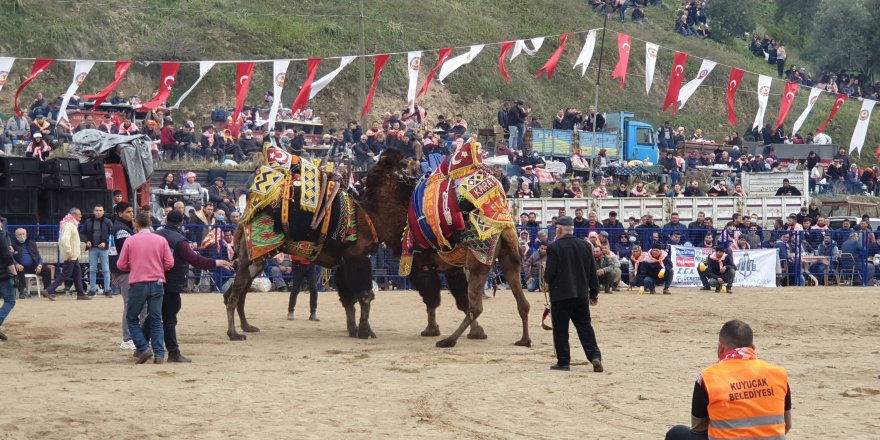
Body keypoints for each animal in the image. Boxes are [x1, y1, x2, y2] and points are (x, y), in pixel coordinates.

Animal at [227, 141, 528, 348]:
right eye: (404, 165)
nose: (418, 169)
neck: (371, 216)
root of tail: (245, 216)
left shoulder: (350, 261)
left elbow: (352, 298)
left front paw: (355, 330)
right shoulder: (361, 258)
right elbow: (367, 296)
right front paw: (367, 331)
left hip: (254, 258)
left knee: (237, 291)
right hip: (255, 254)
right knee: (235, 292)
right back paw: (235, 333)